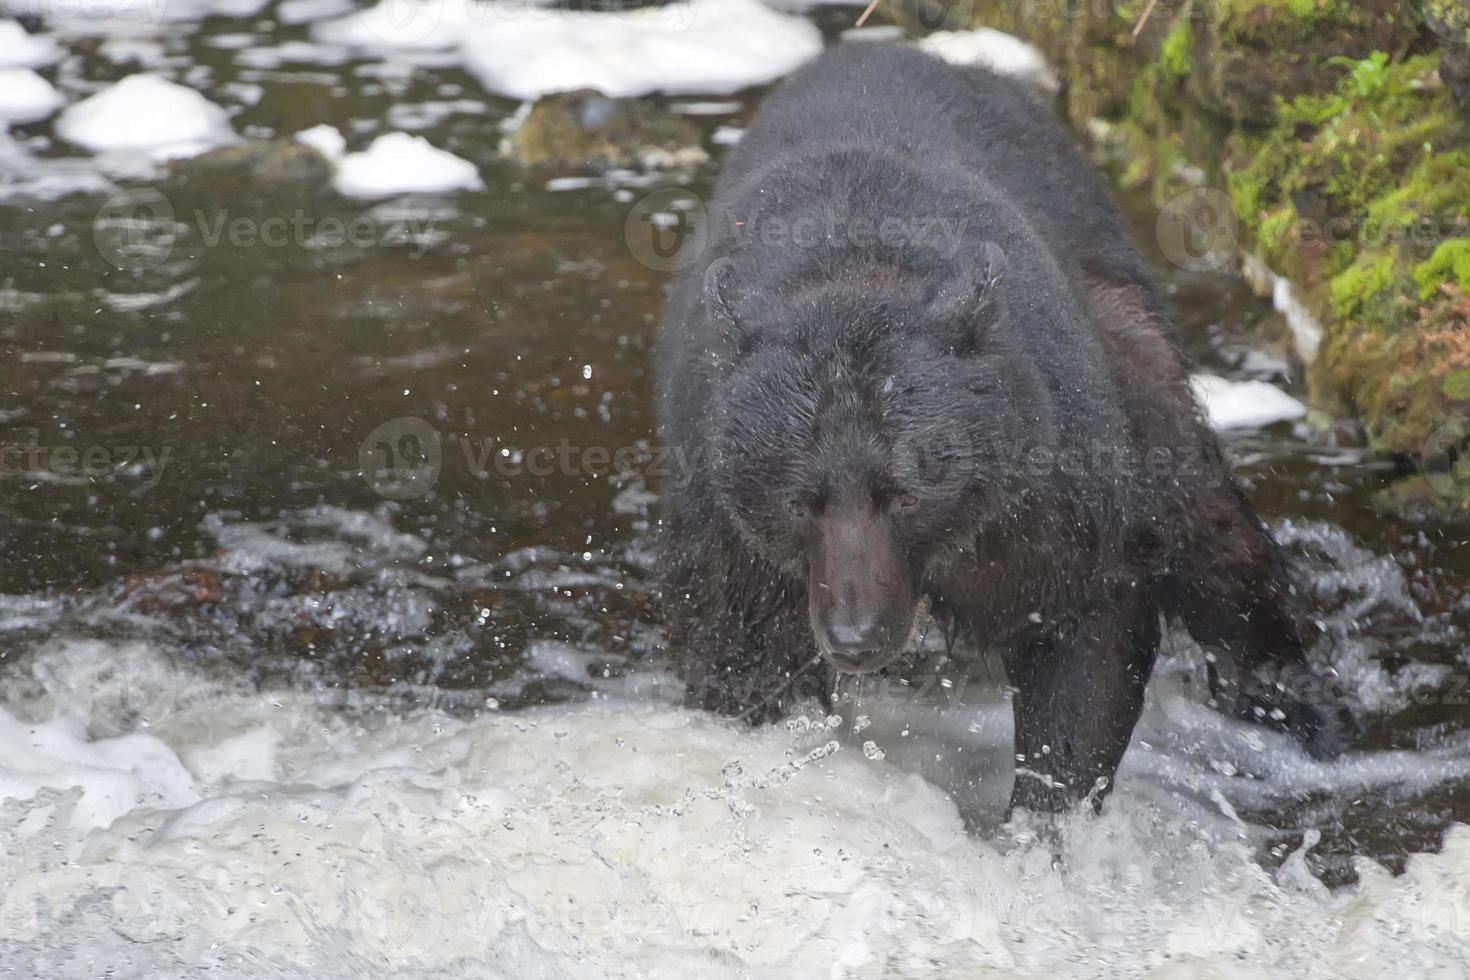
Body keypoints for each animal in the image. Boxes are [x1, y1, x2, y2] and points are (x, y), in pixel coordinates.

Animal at [658, 42, 1352, 816]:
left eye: (907, 493)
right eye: (799, 500)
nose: (855, 636)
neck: (858, 267)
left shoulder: (1049, 489)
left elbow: (1086, 628)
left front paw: (1044, 814)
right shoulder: (728, 518)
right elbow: (743, 652)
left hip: (1128, 340)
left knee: (1202, 520)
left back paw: (1295, 701)